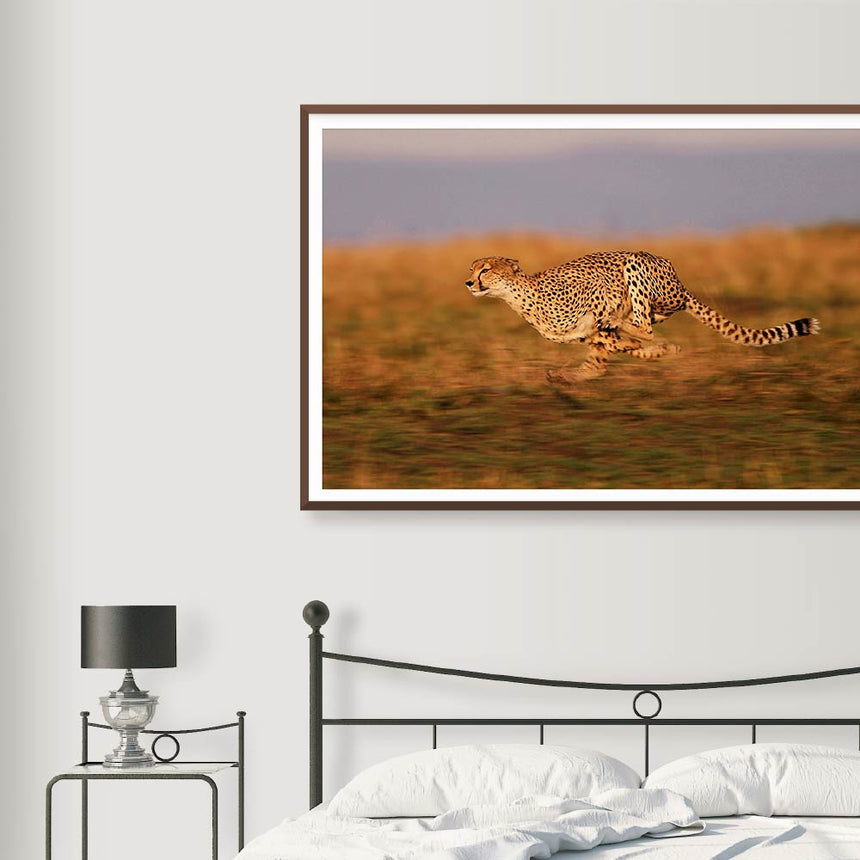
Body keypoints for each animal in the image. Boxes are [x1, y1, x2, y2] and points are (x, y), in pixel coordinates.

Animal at [465, 251, 820, 382]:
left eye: (486, 269)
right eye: (472, 268)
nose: (468, 283)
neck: (519, 297)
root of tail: (680, 282)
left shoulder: (600, 291)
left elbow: (611, 334)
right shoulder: (586, 336)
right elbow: (601, 357)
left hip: (637, 265)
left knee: (642, 324)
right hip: (657, 304)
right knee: (632, 334)